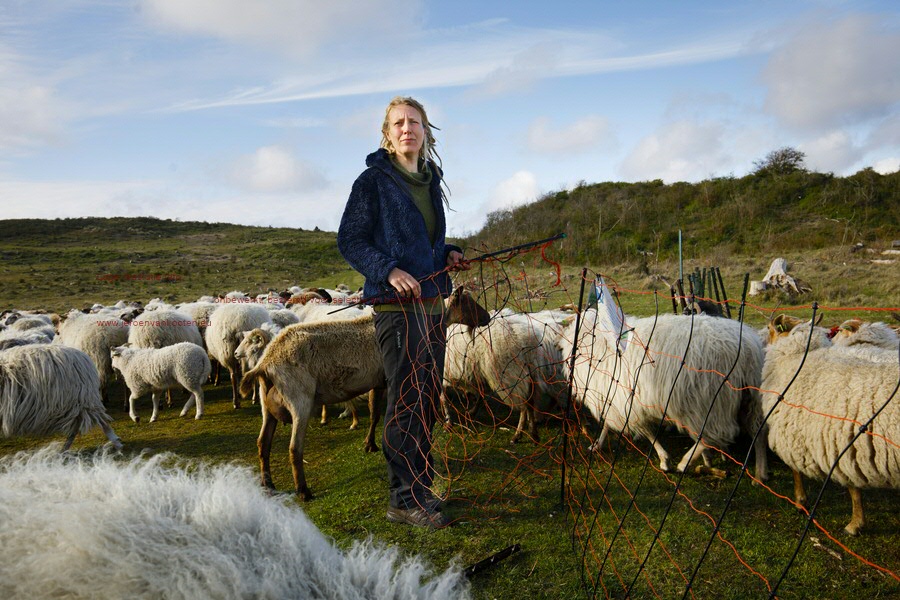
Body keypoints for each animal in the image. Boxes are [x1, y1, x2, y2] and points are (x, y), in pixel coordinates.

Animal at [237, 288, 492, 500]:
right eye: (468, 303)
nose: (487, 318)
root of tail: (266, 362)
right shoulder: (391, 378)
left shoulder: (377, 381)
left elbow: (374, 414)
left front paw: (369, 444)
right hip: (300, 399)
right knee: (294, 449)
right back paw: (303, 491)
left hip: (267, 404)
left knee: (263, 444)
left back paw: (267, 484)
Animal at [564, 308, 768, 480]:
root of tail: (747, 349)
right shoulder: (617, 399)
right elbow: (609, 424)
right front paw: (597, 444)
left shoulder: (624, 401)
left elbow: (646, 432)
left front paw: (665, 460)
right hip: (750, 396)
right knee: (756, 429)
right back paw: (760, 474)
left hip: (710, 400)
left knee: (717, 432)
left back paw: (685, 463)